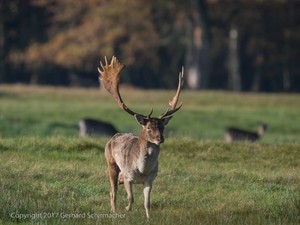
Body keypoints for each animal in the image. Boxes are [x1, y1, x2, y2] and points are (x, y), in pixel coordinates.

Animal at [98, 55, 183, 218]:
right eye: (149, 127)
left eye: (162, 127)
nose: (160, 139)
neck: (142, 170)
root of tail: (113, 137)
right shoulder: (128, 176)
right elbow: (131, 198)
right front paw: (126, 209)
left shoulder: (151, 179)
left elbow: (147, 202)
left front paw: (149, 218)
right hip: (111, 163)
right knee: (112, 191)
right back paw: (114, 211)